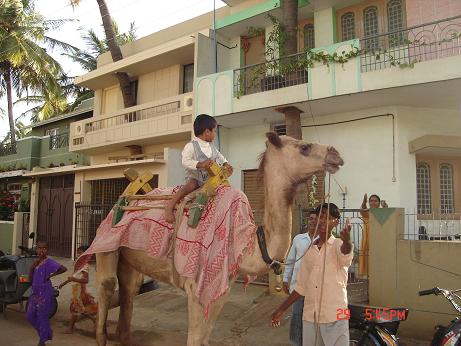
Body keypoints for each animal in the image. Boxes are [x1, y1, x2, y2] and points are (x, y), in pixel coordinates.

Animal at [93, 131, 342, 344]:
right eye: (304, 147)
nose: (336, 155)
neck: (244, 239)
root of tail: (124, 198)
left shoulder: (222, 288)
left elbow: (205, 337)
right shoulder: (196, 287)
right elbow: (194, 339)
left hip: (130, 257)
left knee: (130, 287)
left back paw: (125, 336)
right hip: (106, 243)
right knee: (107, 285)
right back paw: (102, 335)